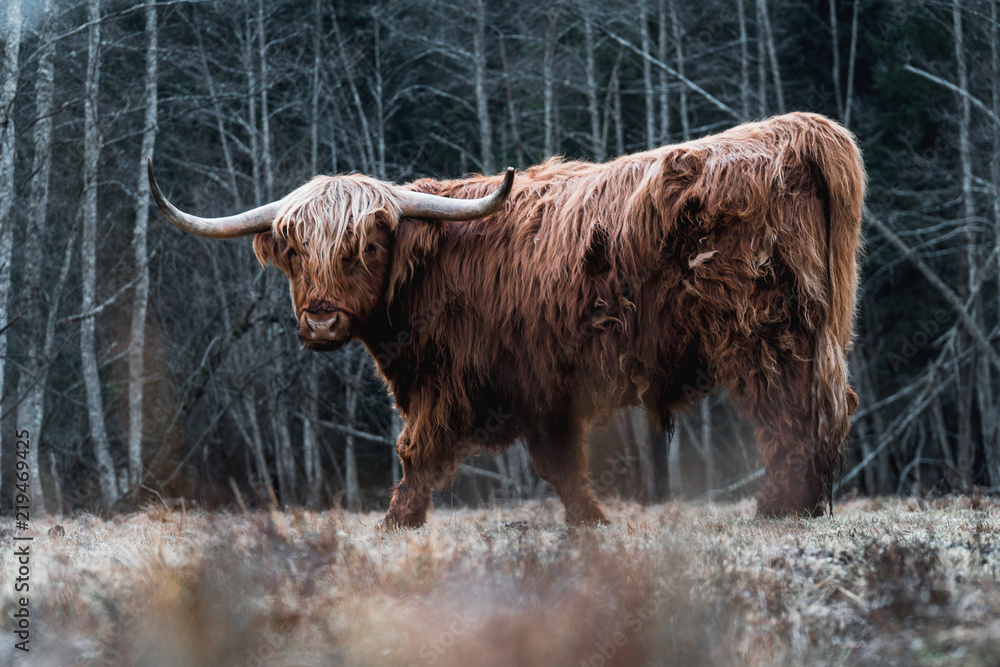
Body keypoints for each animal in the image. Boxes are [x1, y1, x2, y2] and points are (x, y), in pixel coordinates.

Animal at [148, 111, 865, 528]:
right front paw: (590, 520)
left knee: (789, 408)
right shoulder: (545, 385)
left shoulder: (448, 379)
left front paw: (397, 521)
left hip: (763, 328)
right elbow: (558, 462)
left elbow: (416, 449)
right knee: (825, 404)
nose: (322, 322)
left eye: (368, 247)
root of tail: (793, 132)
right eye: (295, 251)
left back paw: (780, 506)